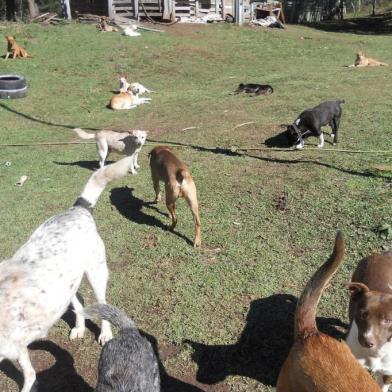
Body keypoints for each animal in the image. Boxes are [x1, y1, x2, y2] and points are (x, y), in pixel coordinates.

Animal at [0, 155, 139, 390]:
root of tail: (78, 209)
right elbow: (29, 372)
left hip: (96, 273)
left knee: (102, 304)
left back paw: (105, 333)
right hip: (67, 283)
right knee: (79, 302)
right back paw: (79, 328)